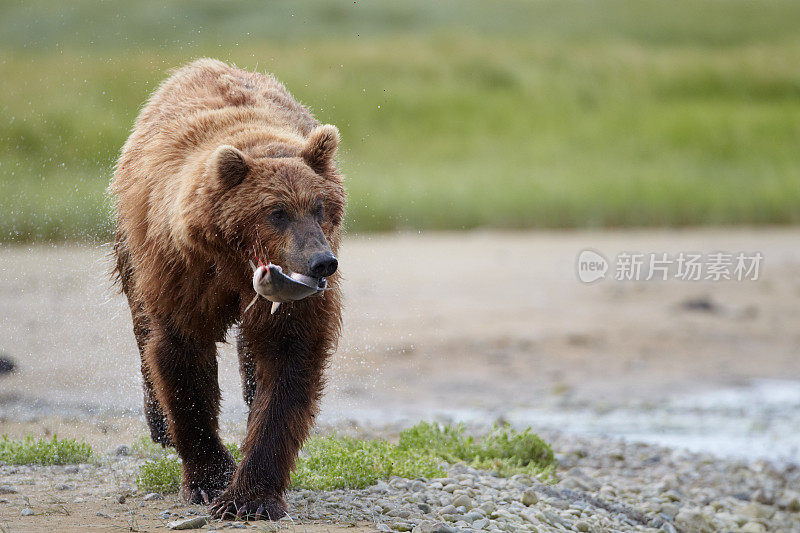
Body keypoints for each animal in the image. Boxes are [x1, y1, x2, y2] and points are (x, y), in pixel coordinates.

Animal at [111, 59, 346, 520]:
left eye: (320, 206)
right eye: (276, 211)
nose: (320, 261)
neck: (235, 266)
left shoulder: (295, 303)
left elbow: (288, 363)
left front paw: (250, 496)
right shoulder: (184, 273)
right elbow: (182, 356)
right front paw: (209, 478)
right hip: (133, 245)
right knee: (143, 328)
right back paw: (159, 423)